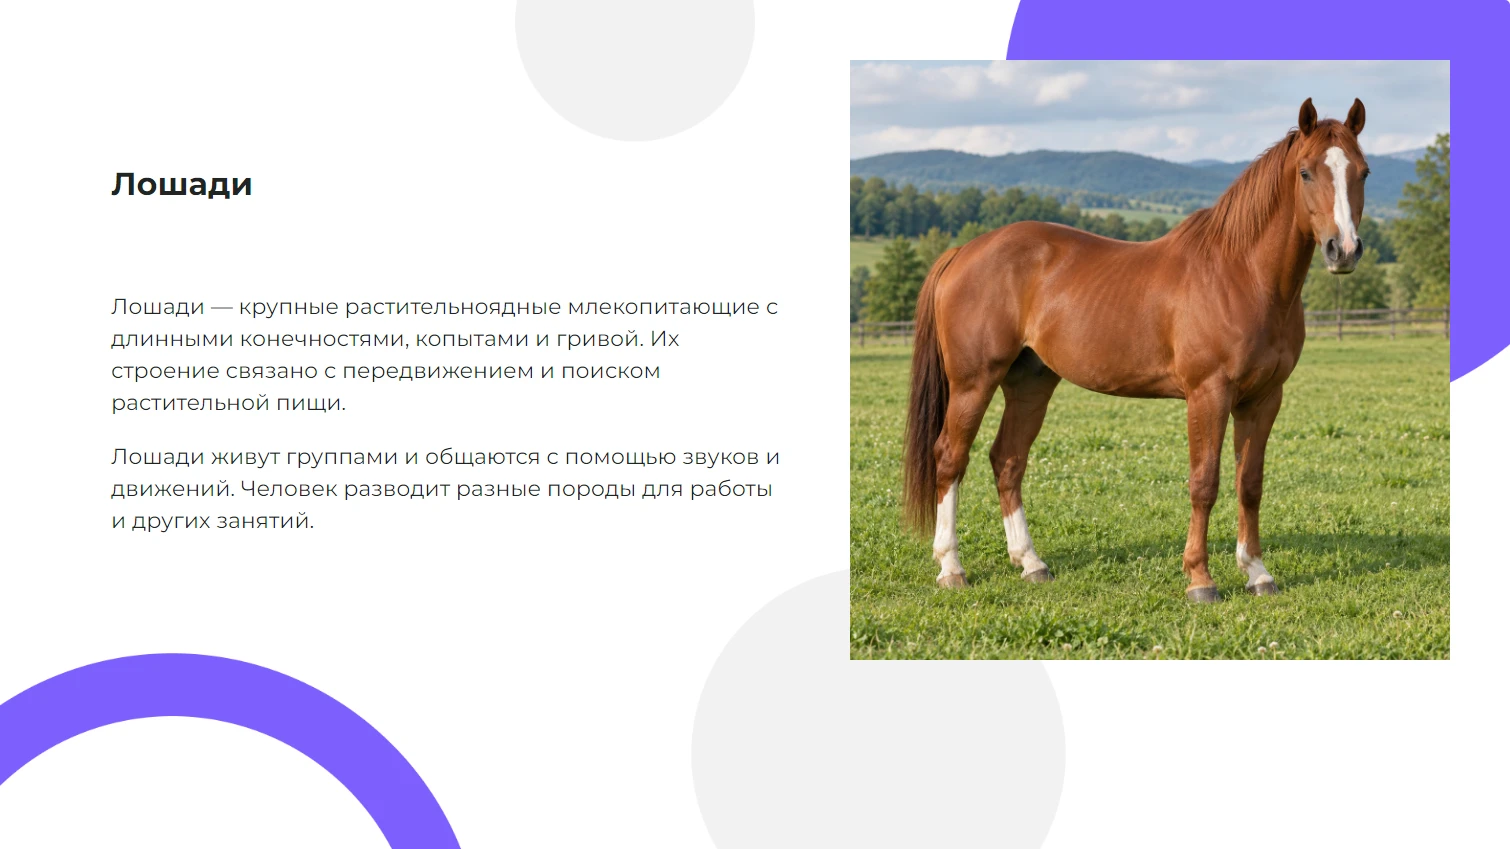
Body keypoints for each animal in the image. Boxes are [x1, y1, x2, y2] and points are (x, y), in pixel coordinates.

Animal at [903, 98, 1369, 603]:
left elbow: (1250, 484)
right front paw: (1200, 579)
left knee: (1007, 460)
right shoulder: (1208, 394)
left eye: (1362, 172)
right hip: (973, 382)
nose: (1343, 250)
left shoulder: (1263, 398)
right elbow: (1204, 482)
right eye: (1305, 172)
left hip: (1030, 383)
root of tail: (963, 252)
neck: (1241, 274)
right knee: (950, 457)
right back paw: (951, 567)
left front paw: (1257, 573)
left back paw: (1030, 562)